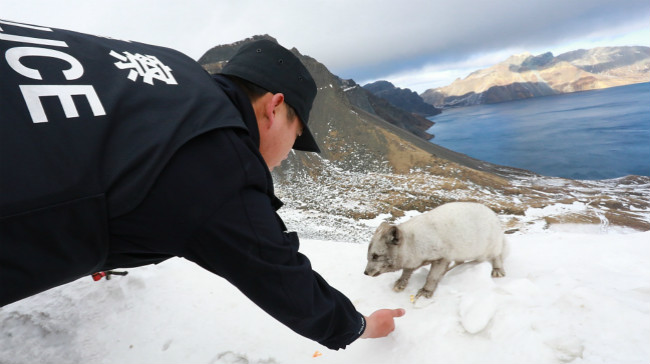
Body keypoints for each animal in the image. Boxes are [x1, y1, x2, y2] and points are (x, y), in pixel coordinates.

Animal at [362, 202, 504, 298]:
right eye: (368, 255)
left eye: (375, 256)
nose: (365, 273)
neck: (414, 243)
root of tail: (493, 213)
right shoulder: (414, 259)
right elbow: (407, 271)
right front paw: (401, 283)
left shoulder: (442, 258)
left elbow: (432, 277)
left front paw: (426, 291)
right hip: (461, 253)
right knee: (460, 262)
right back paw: (448, 271)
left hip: (488, 248)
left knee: (497, 255)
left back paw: (498, 270)